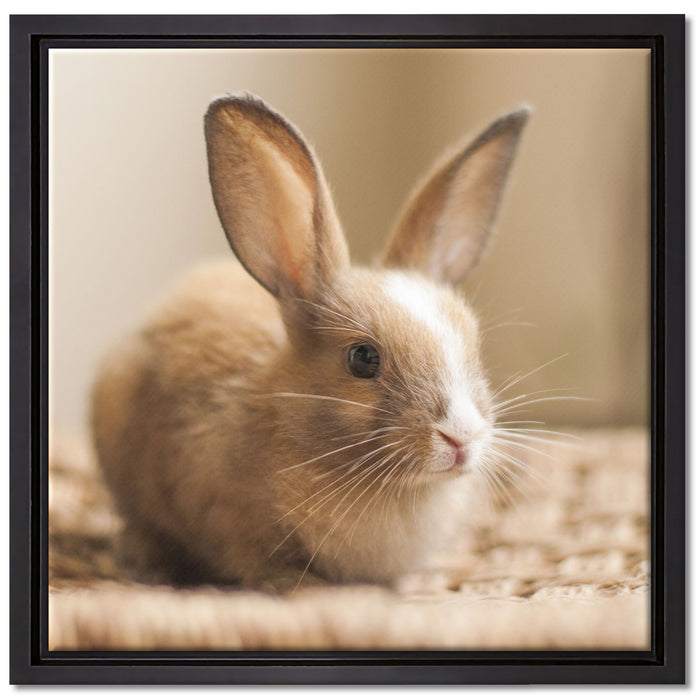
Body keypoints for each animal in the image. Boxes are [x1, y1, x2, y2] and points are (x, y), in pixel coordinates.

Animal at [91, 93, 529, 592]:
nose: (461, 437)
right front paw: (302, 586)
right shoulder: (229, 520)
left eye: (474, 346)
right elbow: (256, 562)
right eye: (362, 358)